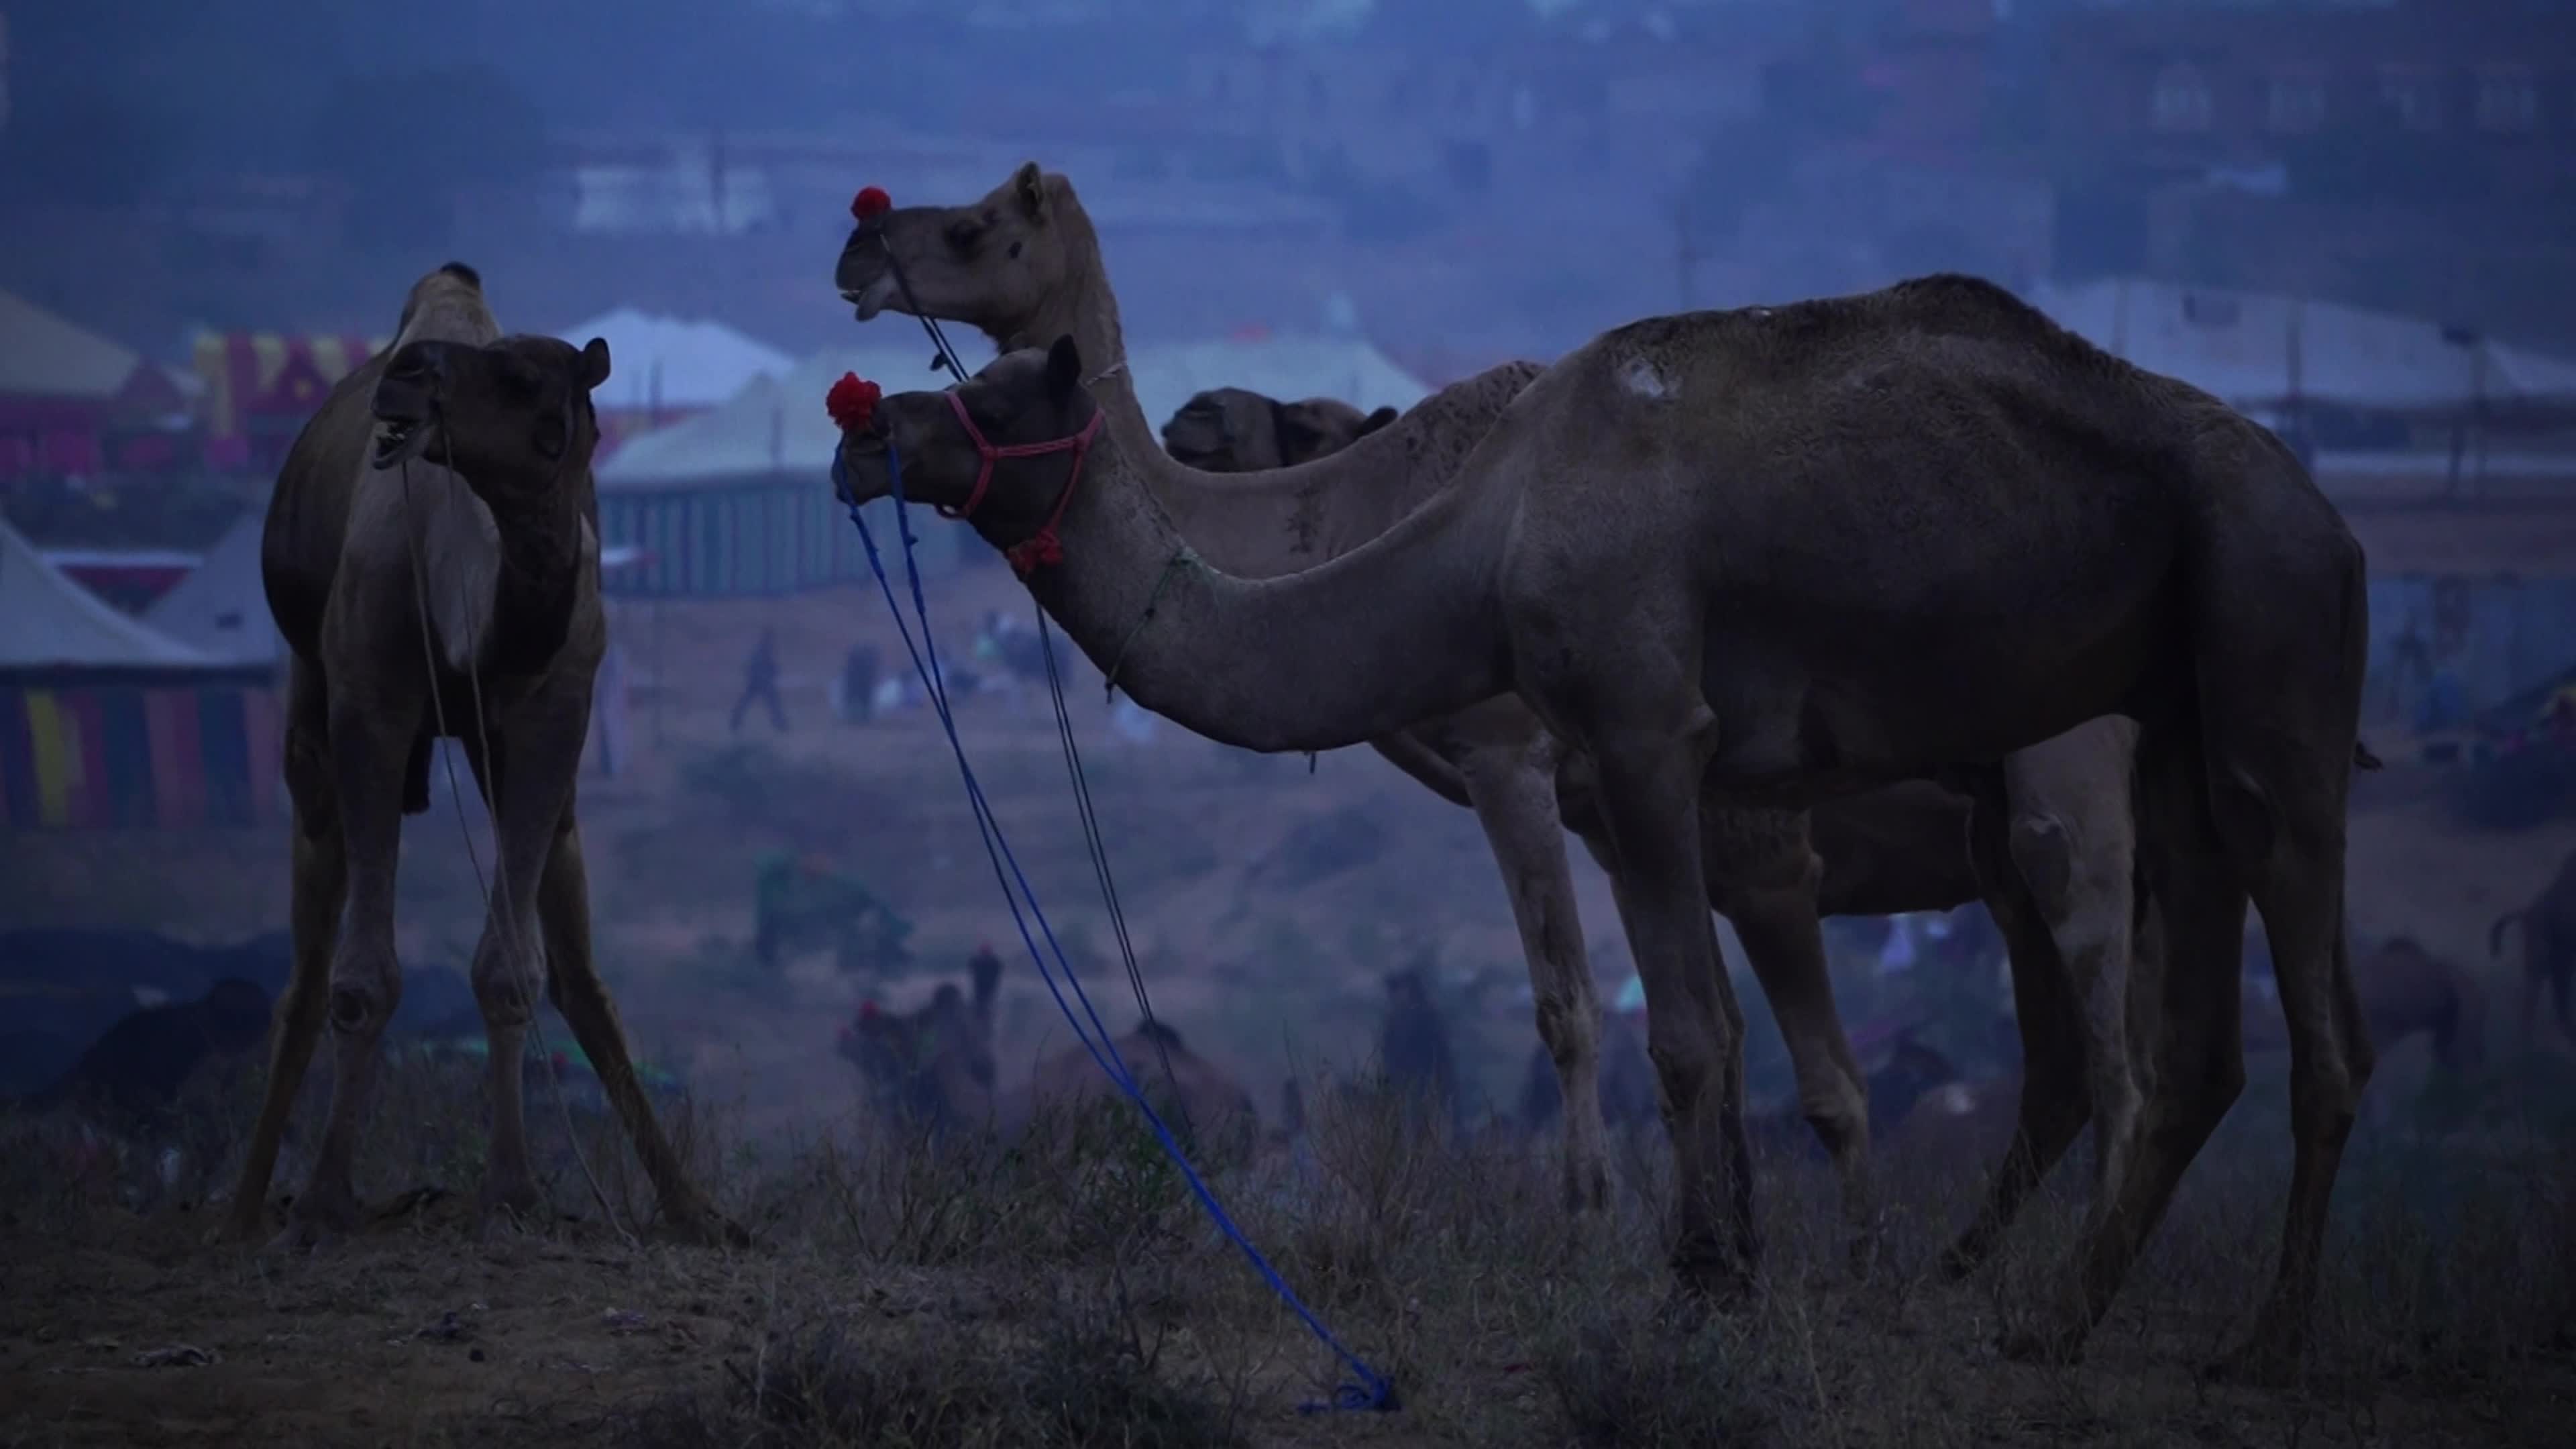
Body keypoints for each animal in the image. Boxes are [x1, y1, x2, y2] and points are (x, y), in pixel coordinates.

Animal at [214, 264, 727, 1248]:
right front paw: (328, 1198)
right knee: (305, 969)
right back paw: (249, 1203)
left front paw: (515, 1191)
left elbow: (513, 969)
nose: (407, 379)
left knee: (576, 971)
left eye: (522, 379)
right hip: (309, 716)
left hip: (523, 773)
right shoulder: (370, 707)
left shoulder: (550, 716)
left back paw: (694, 1206)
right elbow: (360, 980)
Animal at [2489, 845, 2576, 1050]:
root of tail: (2526, 913)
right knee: (2534, 998)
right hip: (2541, 957)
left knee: (2556, 997)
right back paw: (2528, 1043)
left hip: (2555, 962)